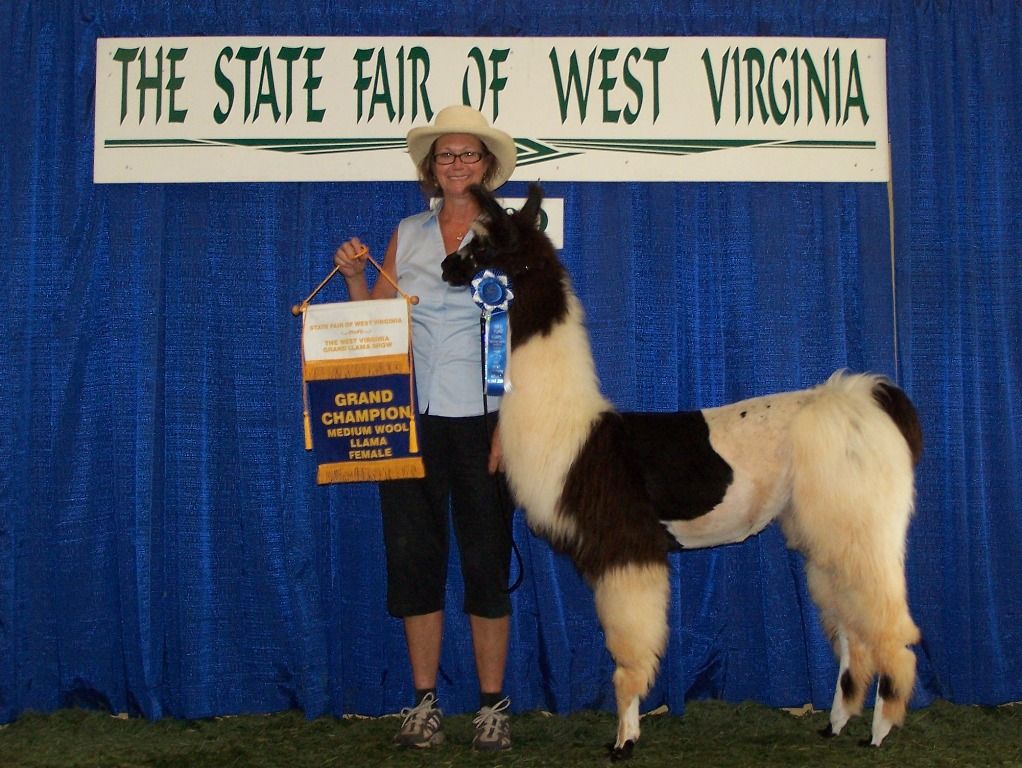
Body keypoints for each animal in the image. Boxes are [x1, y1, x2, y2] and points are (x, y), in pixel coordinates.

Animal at [441, 183, 923, 760]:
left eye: (482, 245)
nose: (446, 265)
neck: (575, 433)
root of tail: (865, 398)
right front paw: (628, 733)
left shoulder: (627, 547)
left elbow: (628, 653)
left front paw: (623, 740)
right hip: (826, 525)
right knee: (852, 625)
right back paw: (837, 722)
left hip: (860, 520)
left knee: (890, 624)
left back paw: (881, 730)